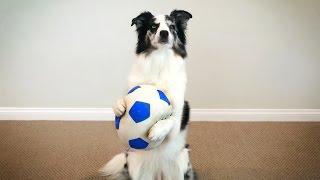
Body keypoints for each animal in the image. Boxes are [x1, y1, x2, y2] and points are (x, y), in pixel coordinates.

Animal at [100, 9, 195, 180]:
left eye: (171, 27)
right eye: (153, 26)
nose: (164, 33)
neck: (160, 59)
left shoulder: (180, 113)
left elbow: (171, 119)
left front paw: (157, 130)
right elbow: (121, 98)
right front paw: (119, 106)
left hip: (180, 165)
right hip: (136, 166)